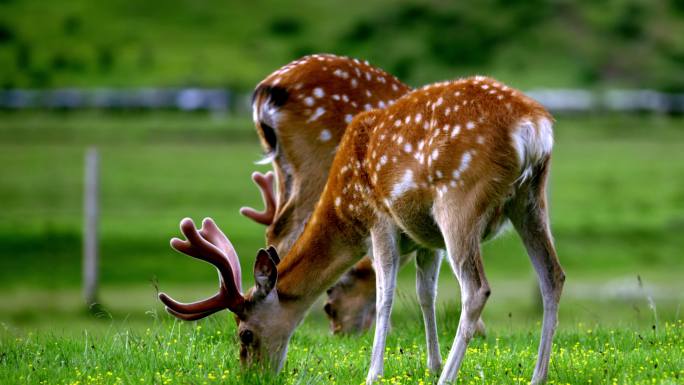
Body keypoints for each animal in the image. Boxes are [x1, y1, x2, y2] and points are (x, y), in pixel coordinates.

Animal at [160, 76, 568, 384]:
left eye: (245, 333)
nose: (252, 376)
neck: (345, 212)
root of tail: (535, 129)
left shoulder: (379, 221)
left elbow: (385, 294)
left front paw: (375, 373)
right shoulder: (426, 240)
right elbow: (426, 294)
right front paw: (430, 363)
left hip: (459, 199)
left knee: (476, 288)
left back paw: (448, 378)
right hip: (531, 199)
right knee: (553, 276)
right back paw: (537, 377)